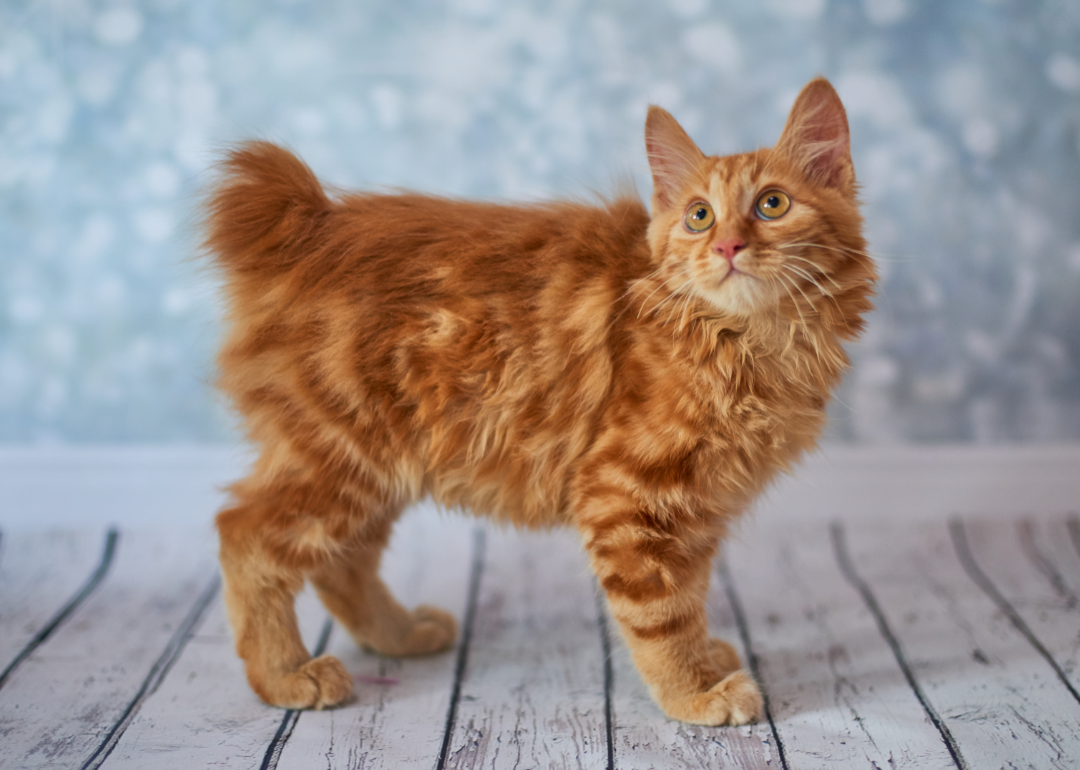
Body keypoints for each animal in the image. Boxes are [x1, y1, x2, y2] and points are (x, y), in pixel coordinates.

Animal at [206, 78, 872, 725]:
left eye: (772, 204)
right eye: (698, 216)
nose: (728, 246)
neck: (749, 341)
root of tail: (314, 221)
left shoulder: (697, 503)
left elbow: (691, 591)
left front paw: (705, 659)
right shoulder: (624, 492)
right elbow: (662, 613)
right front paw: (694, 692)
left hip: (380, 467)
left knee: (342, 563)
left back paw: (398, 634)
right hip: (341, 455)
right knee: (246, 537)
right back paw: (286, 674)